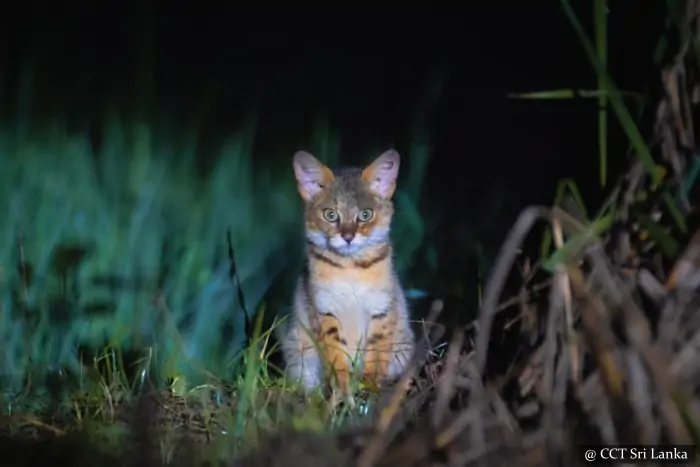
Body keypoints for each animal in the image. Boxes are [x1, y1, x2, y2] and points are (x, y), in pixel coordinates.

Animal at [276, 150, 412, 402]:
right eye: (330, 215)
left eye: (365, 214)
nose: (348, 237)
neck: (351, 269)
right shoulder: (324, 311)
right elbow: (337, 359)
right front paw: (344, 391)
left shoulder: (381, 310)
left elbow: (376, 357)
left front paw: (370, 390)